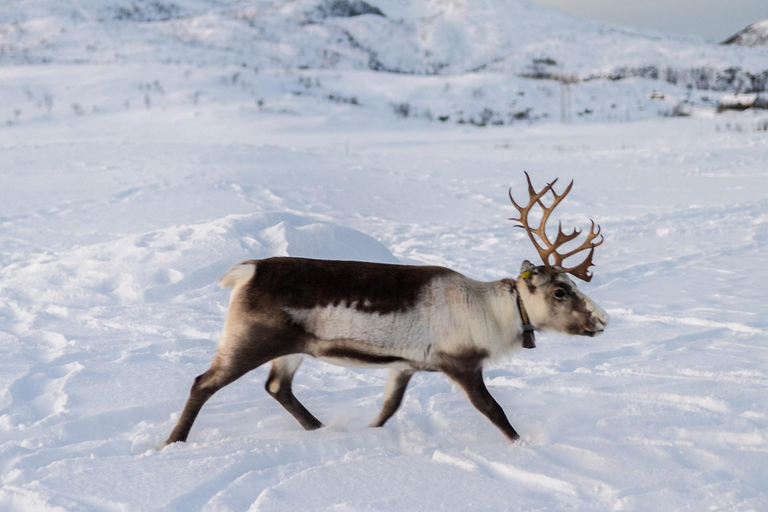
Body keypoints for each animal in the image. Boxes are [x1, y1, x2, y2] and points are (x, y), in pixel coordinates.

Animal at [164, 173, 608, 445]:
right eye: (560, 291)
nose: (603, 320)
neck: (497, 312)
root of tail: (248, 271)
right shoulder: (460, 363)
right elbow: (493, 410)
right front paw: (522, 445)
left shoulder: (405, 366)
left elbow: (388, 408)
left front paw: (370, 432)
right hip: (250, 340)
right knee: (203, 383)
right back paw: (173, 441)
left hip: (292, 349)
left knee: (278, 387)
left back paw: (321, 428)